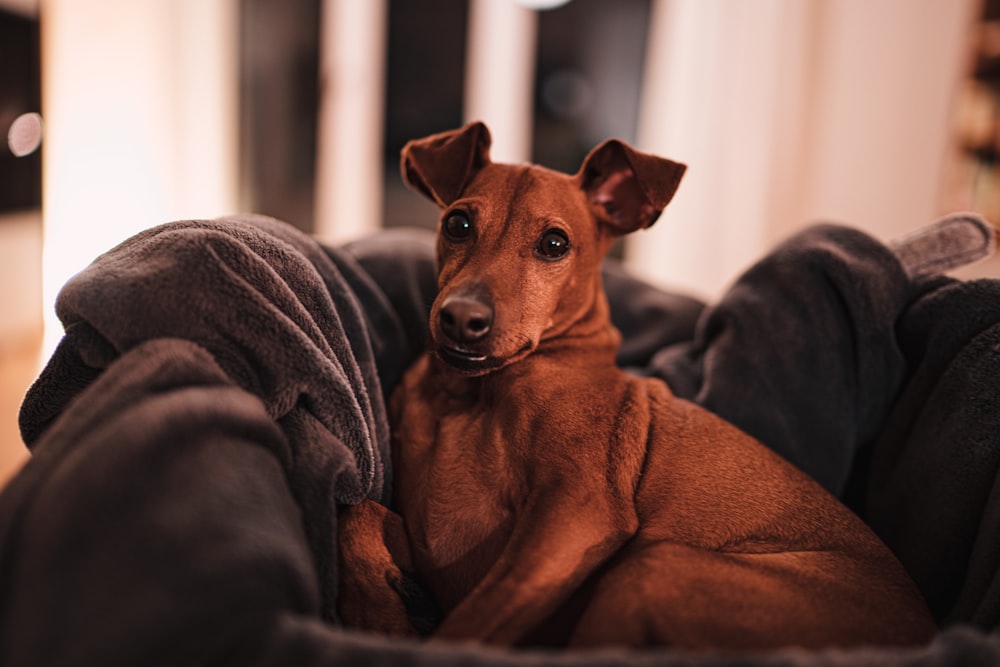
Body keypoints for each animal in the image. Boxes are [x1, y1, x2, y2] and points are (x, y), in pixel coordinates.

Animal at [340, 122, 940, 648]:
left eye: (554, 244)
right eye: (458, 224)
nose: (462, 319)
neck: (469, 396)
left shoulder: (577, 512)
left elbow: (470, 622)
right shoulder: (430, 542)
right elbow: (358, 512)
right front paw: (380, 613)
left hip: (653, 565)